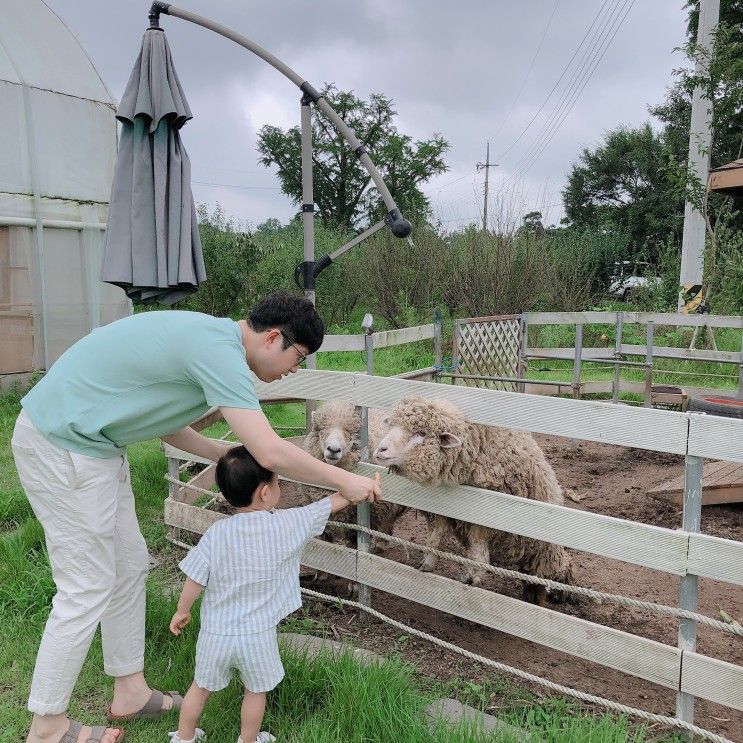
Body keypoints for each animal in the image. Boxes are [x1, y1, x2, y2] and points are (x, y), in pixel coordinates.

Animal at [374, 398, 580, 608]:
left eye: (421, 433)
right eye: (391, 425)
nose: (380, 449)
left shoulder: (485, 511)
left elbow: (476, 544)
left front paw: (473, 576)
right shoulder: (442, 508)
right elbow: (435, 537)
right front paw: (427, 564)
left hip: (543, 548)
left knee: (549, 574)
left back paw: (551, 597)